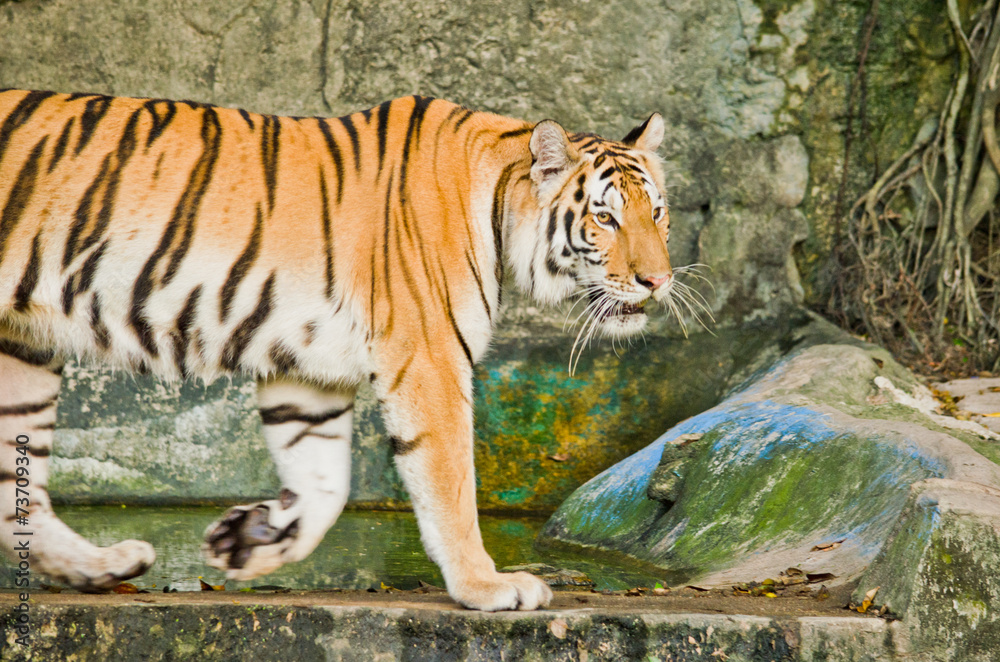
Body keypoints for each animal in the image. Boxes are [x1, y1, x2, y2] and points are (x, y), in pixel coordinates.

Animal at [0, 89, 672, 611]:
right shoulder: (430, 356)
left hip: (23, 353)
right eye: (606, 219)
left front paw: (247, 544)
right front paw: (486, 586)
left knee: (15, 490)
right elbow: (450, 480)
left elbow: (324, 485)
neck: (498, 200)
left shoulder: (305, 370)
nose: (658, 281)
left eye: (658, 214)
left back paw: (103, 567)